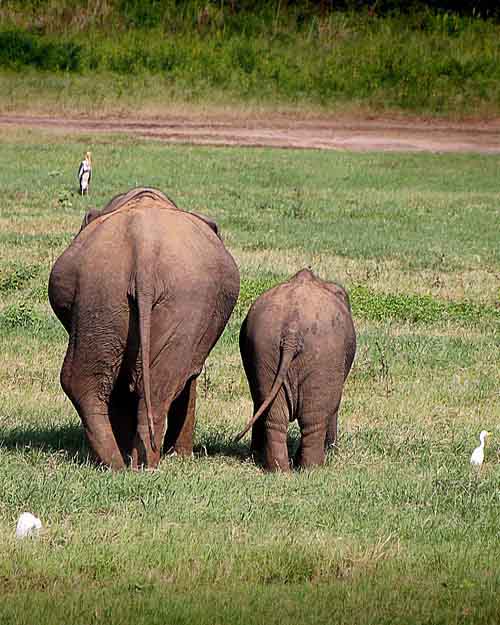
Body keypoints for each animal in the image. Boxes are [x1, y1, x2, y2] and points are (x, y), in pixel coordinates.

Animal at [48, 185, 240, 468]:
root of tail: (144, 247)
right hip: (147, 296)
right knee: (158, 382)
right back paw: (138, 463)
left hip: (103, 291)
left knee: (91, 381)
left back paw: (122, 463)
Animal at [235, 266, 356, 470]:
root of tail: (291, 329)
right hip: (324, 356)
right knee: (313, 420)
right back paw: (312, 469)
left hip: (264, 349)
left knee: (273, 416)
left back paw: (279, 470)